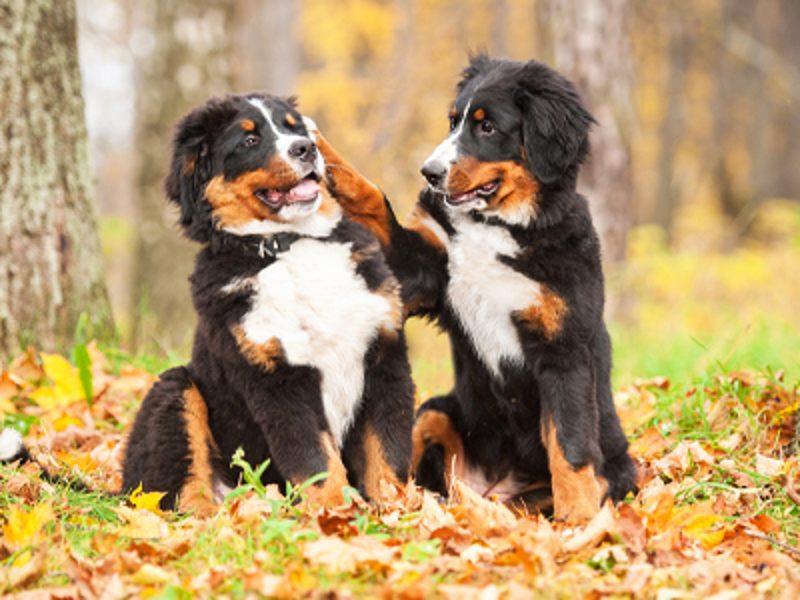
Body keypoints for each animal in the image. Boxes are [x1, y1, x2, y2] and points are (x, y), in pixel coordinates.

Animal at [123, 91, 418, 512]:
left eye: (295, 126)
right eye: (249, 140)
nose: (306, 148)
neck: (294, 243)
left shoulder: (384, 354)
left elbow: (387, 451)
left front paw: (400, 512)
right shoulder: (274, 377)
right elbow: (314, 457)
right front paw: (334, 512)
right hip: (175, 390)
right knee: (183, 495)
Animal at [312, 57, 636, 524]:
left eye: (487, 127)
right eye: (453, 122)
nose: (430, 173)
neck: (497, 226)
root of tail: (492, 488)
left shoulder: (563, 347)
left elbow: (570, 445)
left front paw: (579, 518)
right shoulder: (423, 270)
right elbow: (373, 199)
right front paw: (326, 155)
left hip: (615, 471)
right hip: (435, 411)